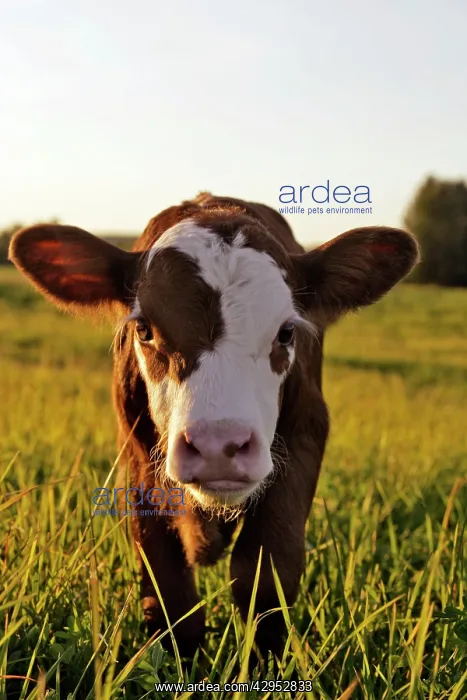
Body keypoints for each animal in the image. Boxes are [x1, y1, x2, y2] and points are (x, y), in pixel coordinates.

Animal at [9, 193, 419, 662]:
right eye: (144, 329)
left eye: (286, 332)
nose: (217, 446)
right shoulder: (139, 460)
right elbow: (168, 587)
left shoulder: (305, 436)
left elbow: (265, 569)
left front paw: (263, 662)